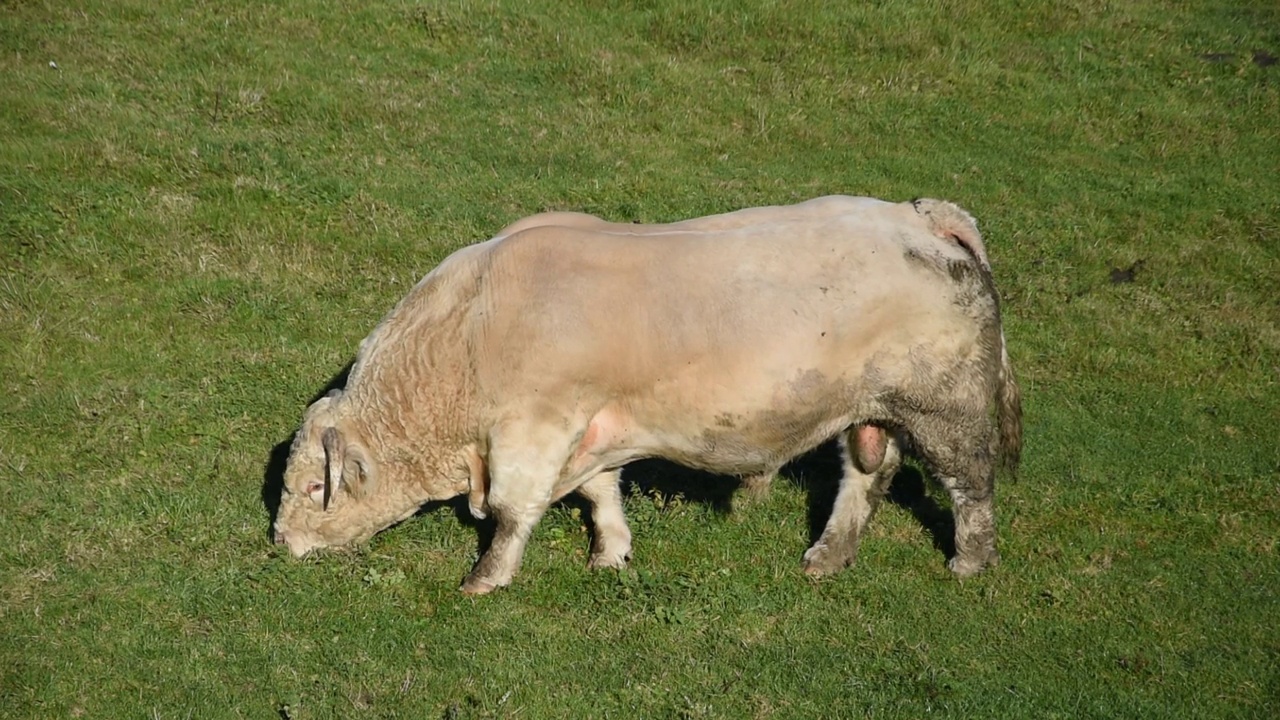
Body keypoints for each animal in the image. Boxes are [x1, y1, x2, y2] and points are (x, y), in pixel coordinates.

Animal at [275, 193, 1024, 591]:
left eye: (316, 487)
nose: (280, 543)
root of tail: (917, 214)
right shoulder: (594, 424)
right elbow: (599, 491)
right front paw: (610, 553)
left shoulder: (533, 427)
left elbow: (514, 511)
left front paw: (486, 577)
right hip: (873, 410)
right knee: (865, 476)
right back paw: (827, 557)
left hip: (946, 405)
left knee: (970, 484)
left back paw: (968, 561)